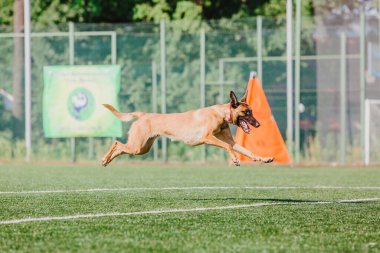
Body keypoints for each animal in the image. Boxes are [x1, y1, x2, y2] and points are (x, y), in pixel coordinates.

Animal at [101, 90, 274, 167]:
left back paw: (107, 160)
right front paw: (235, 159)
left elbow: (248, 151)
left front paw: (264, 159)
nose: (258, 124)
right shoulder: (207, 137)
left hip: (142, 148)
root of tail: (144, 115)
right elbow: (227, 147)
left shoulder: (231, 142)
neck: (222, 114)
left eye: (252, 111)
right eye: (247, 112)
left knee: (120, 148)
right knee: (116, 143)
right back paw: (104, 158)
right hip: (137, 145)